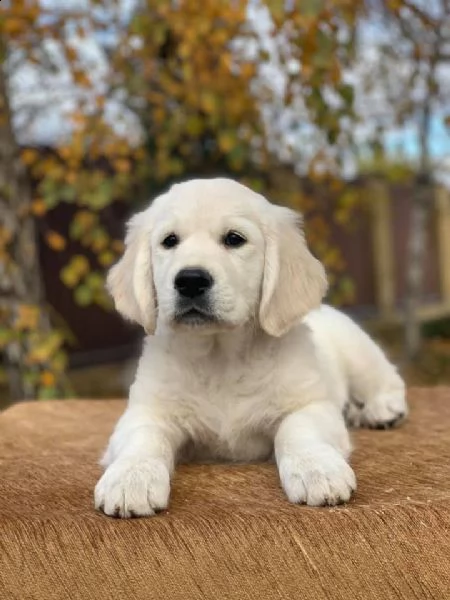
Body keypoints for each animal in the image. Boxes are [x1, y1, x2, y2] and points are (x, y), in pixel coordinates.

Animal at [93, 177, 406, 516]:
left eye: (234, 239)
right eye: (169, 241)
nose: (190, 280)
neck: (220, 356)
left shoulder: (310, 404)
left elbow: (296, 430)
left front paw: (317, 470)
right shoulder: (147, 410)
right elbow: (143, 438)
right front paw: (130, 478)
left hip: (359, 351)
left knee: (385, 379)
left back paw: (382, 410)